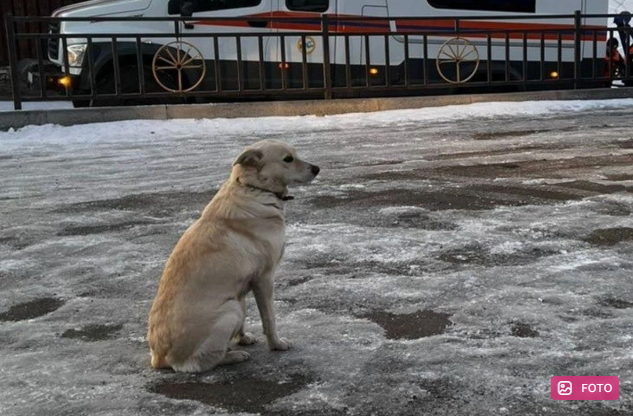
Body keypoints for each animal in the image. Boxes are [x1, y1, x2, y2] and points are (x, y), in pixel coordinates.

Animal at [146, 140, 318, 374]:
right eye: (288, 159)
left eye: (295, 154)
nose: (317, 168)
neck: (254, 188)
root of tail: (159, 358)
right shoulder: (264, 278)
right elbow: (269, 318)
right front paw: (276, 344)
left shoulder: (243, 286)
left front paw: (243, 338)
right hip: (230, 310)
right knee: (198, 362)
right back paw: (233, 356)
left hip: (235, 304)